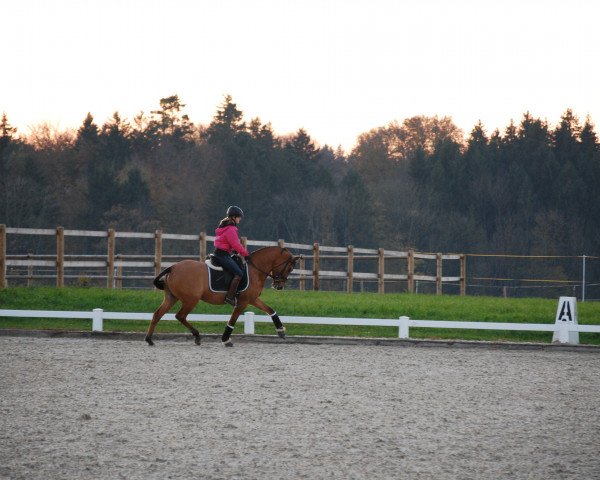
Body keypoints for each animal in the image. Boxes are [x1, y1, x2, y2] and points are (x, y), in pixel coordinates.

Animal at [145, 246, 300, 346]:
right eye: (290, 268)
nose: (279, 286)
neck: (255, 269)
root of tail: (173, 267)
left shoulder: (253, 299)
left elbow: (270, 310)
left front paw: (280, 330)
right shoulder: (242, 302)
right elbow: (232, 320)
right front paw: (226, 339)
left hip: (171, 298)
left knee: (157, 314)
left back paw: (149, 339)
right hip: (191, 300)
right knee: (180, 316)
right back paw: (197, 336)